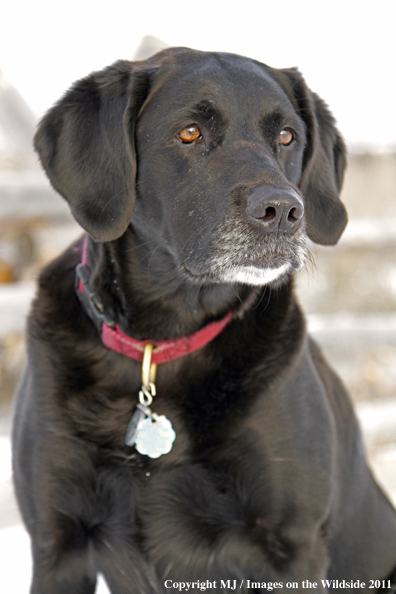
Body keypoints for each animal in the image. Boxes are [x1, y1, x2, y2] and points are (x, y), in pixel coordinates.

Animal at [12, 48, 396, 588]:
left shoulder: (291, 545)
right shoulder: (57, 542)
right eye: (190, 132)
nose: (283, 210)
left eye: (287, 136)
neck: (162, 340)